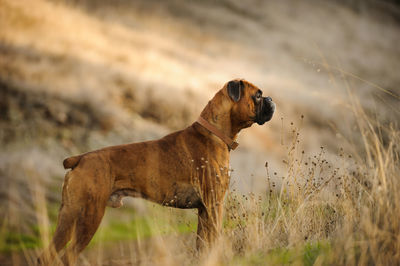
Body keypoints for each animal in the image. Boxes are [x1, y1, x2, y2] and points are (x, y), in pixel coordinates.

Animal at [37, 78, 276, 264]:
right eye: (258, 95)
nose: (271, 99)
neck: (214, 132)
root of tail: (80, 158)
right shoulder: (214, 205)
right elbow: (214, 239)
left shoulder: (203, 210)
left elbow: (202, 244)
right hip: (88, 216)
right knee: (68, 256)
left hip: (68, 215)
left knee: (47, 255)